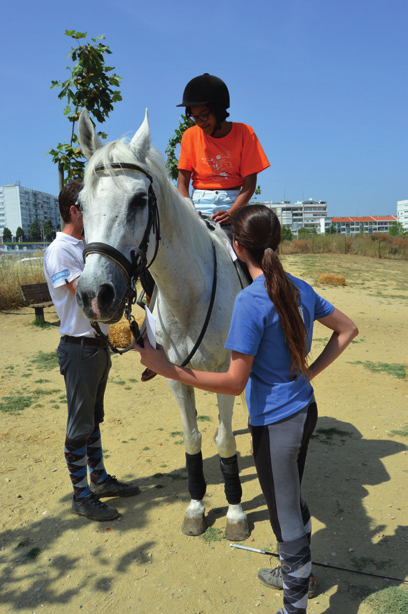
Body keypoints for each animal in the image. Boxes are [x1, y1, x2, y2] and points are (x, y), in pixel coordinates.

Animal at [75, 110, 250, 544]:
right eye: (80, 204)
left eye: (140, 200)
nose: (94, 295)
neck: (190, 293)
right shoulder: (177, 377)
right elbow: (193, 439)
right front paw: (196, 508)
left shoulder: (225, 370)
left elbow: (224, 441)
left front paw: (236, 514)